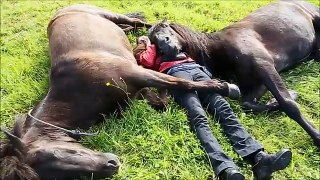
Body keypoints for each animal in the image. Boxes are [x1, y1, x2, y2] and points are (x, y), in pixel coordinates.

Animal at [0, 3, 230, 179]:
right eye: (57, 174)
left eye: (55, 153)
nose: (112, 165)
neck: (79, 87)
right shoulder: (138, 91)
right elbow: (163, 99)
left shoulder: (137, 74)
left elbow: (179, 83)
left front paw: (219, 85)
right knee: (128, 26)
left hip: (108, 14)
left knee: (139, 23)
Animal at [148, 0, 320, 146]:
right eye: (153, 42)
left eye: (164, 26)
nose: (165, 46)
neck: (219, 51)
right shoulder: (257, 81)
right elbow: (249, 105)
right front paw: (282, 98)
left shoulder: (264, 64)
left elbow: (288, 104)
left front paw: (317, 137)